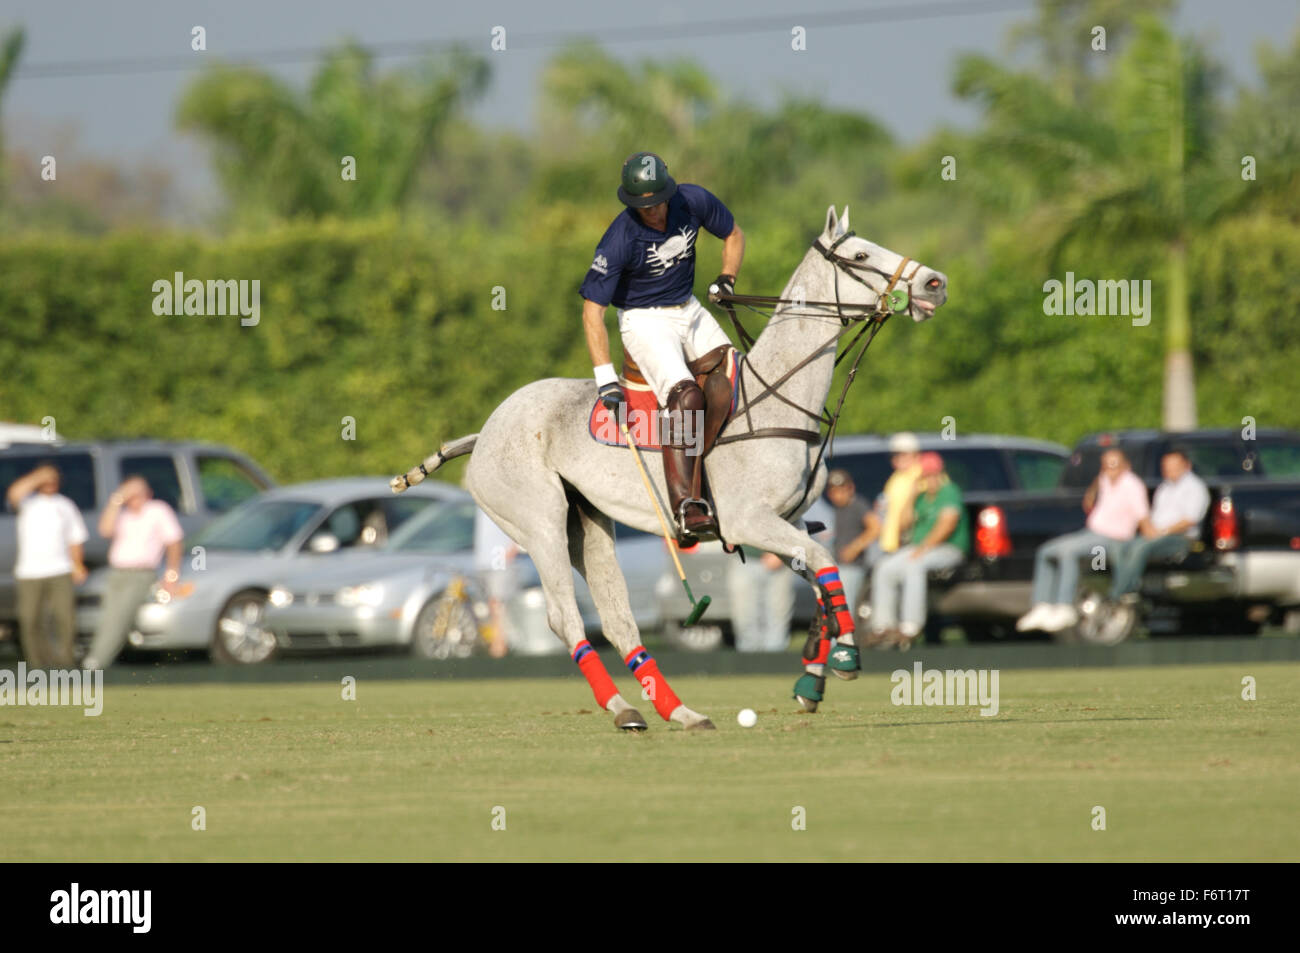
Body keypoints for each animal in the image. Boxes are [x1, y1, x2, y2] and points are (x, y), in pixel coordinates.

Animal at [390, 206, 951, 728]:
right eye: (860, 254)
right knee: (565, 617)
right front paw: (847, 657)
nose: (935, 283)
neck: (777, 397)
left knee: (618, 619)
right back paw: (623, 709)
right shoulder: (749, 521)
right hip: (538, 521)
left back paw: (676, 711)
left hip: (585, 523)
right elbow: (825, 561)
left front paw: (811, 681)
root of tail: (485, 432)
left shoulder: (788, 521)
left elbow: (818, 574)